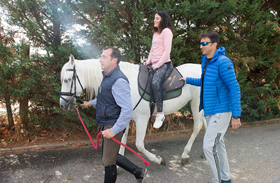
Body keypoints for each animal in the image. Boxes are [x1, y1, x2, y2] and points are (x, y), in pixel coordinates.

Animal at [60, 55, 207, 165]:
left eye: (67, 80)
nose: (62, 105)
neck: (125, 82)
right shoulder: (125, 117)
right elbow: (122, 139)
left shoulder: (142, 119)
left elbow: (139, 145)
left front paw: (158, 160)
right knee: (205, 124)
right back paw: (205, 153)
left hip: (196, 104)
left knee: (197, 127)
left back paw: (185, 155)